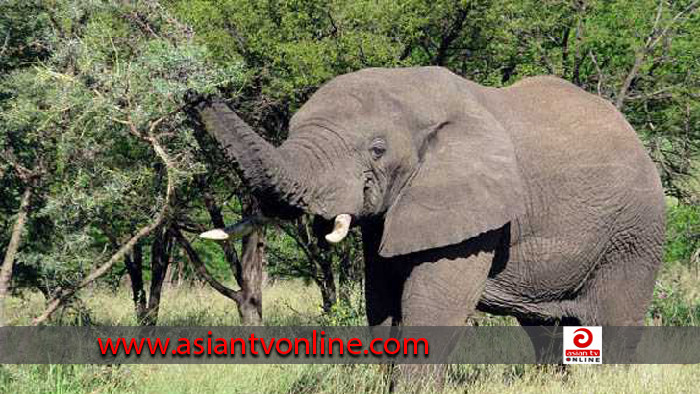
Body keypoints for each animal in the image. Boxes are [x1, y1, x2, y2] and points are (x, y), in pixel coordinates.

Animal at [190, 67, 660, 358]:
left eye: (377, 150)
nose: (194, 92)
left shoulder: (474, 215)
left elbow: (431, 311)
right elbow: (380, 306)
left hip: (632, 237)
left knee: (612, 327)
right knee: (545, 332)